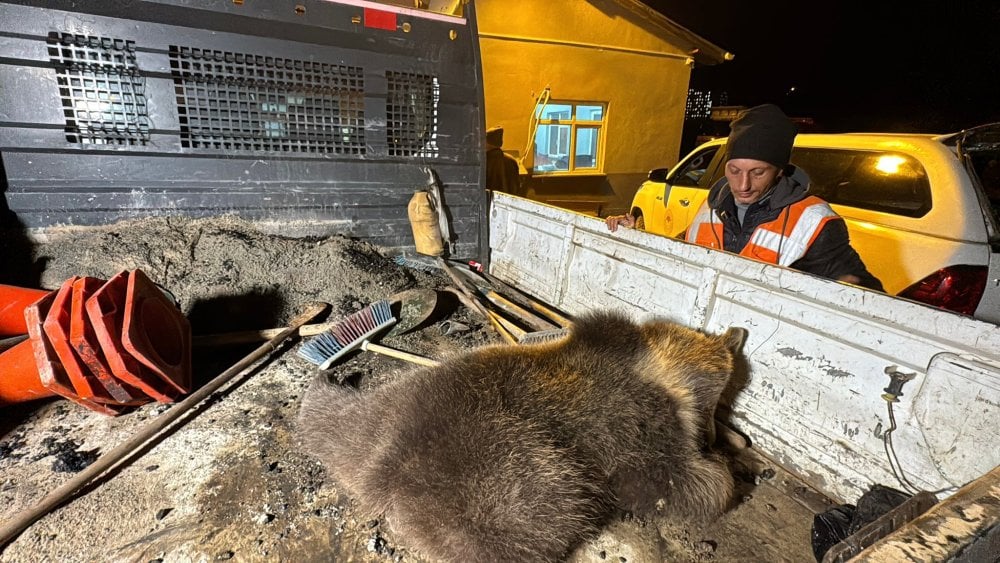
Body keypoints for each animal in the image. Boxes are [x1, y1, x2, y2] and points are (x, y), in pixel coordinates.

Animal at [294, 310, 744, 560]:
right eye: (718, 400)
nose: (713, 435)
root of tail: (385, 468)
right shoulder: (637, 426)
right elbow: (676, 480)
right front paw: (724, 472)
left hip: (384, 409)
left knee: (331, 417)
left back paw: (328, 387)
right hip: (505, 465)